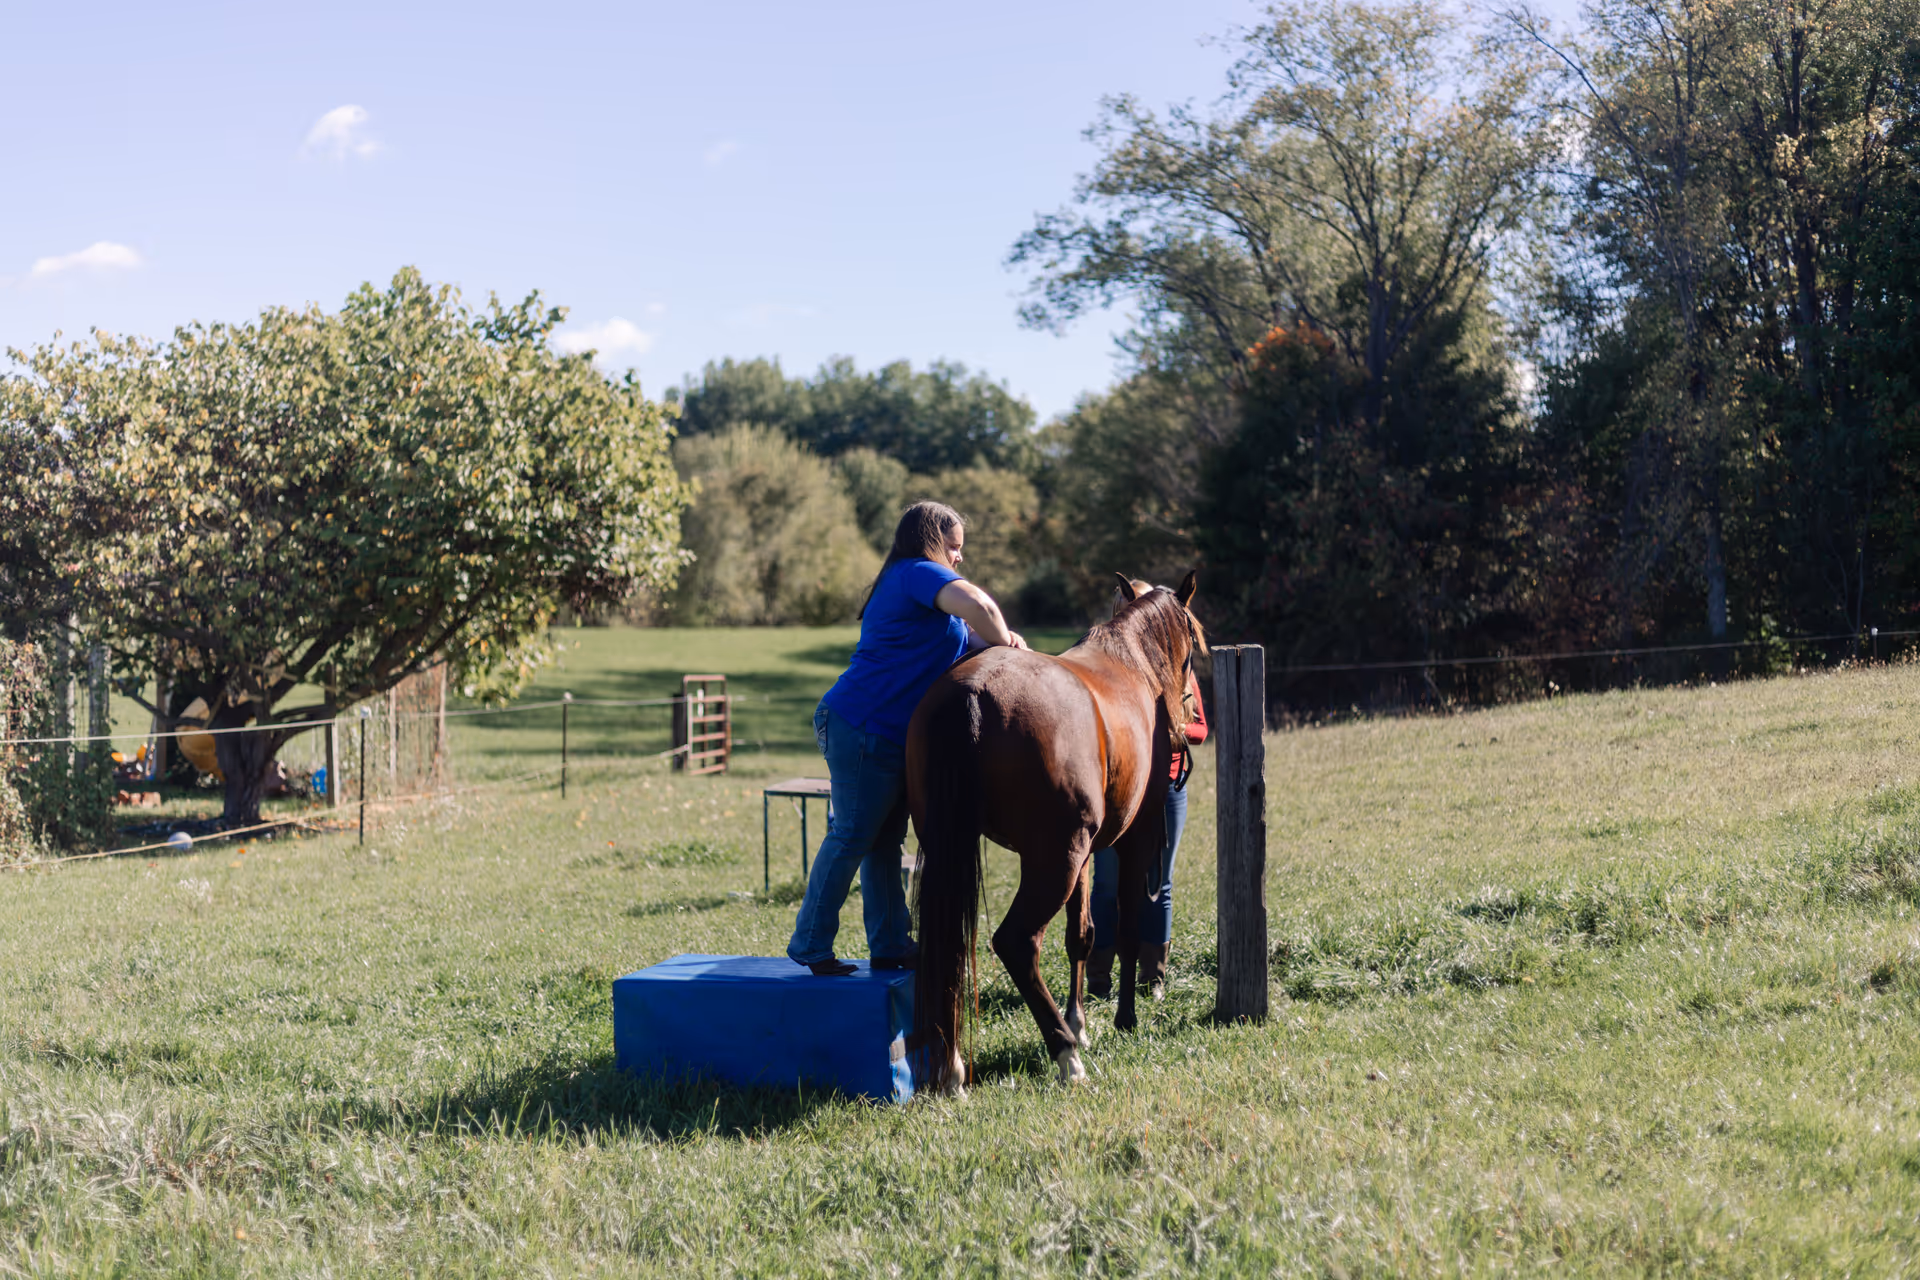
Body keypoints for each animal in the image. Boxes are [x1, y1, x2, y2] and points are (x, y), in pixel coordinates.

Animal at [907, 571, 1205, 1092]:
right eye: (1190, 640)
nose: (1190, 713)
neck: (1129, 662)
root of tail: (973, 690)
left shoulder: (1086, 856)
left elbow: (1082, 934)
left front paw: (1081, 1022)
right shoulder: (1133, 839)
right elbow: (1127, 931)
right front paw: (1122, 1021)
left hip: (964, 854)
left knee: (952, 945)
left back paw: (954, 1066)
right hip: (1053, 862)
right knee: (1016, 942)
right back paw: (1066, 1056)